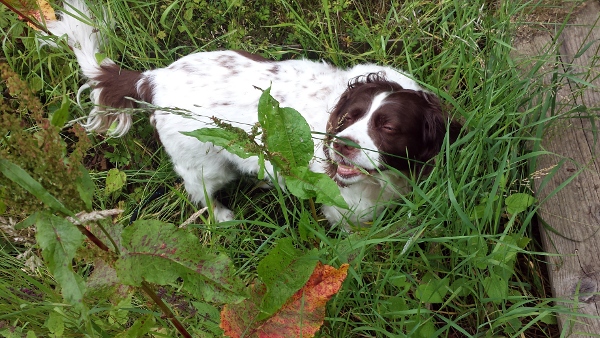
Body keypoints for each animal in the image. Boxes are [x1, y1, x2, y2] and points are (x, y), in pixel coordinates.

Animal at [45, 0, 460, 227]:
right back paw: (223, 217)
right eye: (346, 120)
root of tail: (154, 78)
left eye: (388, 126)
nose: (341, 145)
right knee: (200, 192)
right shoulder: (345, 208)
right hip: (203, 163)